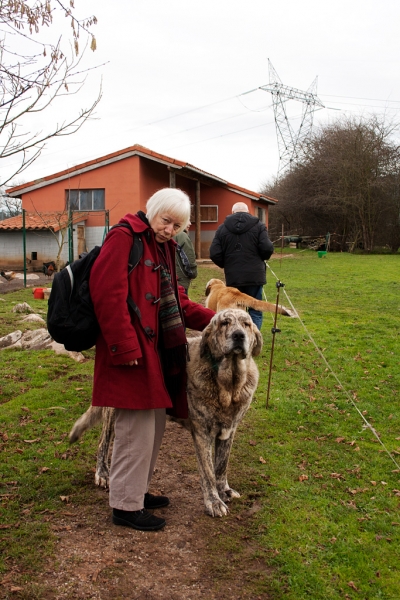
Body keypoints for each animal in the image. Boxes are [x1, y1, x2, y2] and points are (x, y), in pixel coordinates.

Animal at [69, 310, 262, 516]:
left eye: (246, 324)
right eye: (224, 323)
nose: (239, 335)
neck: (229, 386)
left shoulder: (228, 431)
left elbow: (221, 466)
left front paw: (224, 490)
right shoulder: (203, 433)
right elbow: (208, 471)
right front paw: (214, 501)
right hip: (113, 411)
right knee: (103, 442)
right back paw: (103, 472)